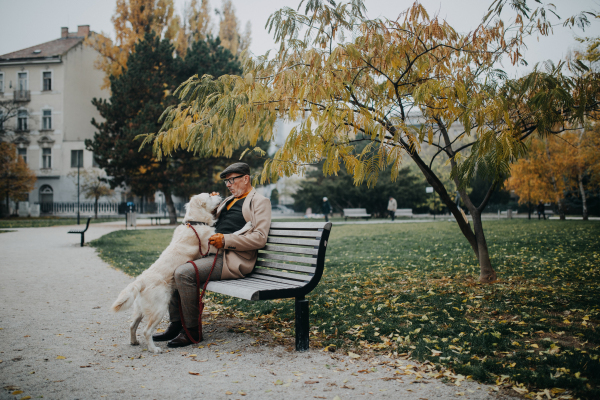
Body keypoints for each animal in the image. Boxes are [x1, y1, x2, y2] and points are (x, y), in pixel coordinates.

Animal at [111, 194, 221, 354]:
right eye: (208, 196)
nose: (217, 193)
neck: (194, 222)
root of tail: (141, 280)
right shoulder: (212, 245)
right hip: (159, 308)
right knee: (146, 331)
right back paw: (153, 349)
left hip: (140, 309)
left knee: (132, 325)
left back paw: (134, 341)